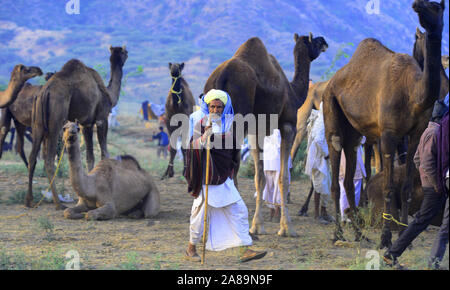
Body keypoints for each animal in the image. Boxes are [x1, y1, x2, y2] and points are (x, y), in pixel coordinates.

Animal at [26, 46, 126, 210]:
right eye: (125, 52)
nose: (126, 54)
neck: (108, 95)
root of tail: (45, 91)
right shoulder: (101, 119)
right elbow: (104, 153)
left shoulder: (86, 123)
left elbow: (90, 157)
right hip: (55, 122)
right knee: (49, 160)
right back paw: (58, 203)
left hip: (38, 124)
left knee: (32, 157)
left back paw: (30, 201)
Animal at [203, 32, 326, 237]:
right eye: (315, 42)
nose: (325, 43)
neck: (293, 93)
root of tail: (222, 75)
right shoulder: (288, 125)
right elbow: (283, 177)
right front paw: (286, 227)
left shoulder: (257, 130)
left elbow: (260, 178)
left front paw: (257, 225)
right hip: (237, 120)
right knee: (230, 165)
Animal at [322, 0, 444, 247]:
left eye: (436, 6)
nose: (416, 4)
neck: (414, 93)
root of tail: (331, 82)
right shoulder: (388, 134)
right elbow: (388, 187)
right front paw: (386, 238)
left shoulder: (415, 134)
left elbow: (405, 187)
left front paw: (404, 235)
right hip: (330, 107)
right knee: (335, 163)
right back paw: (338, 234)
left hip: (353, 132)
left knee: (349, 175)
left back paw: (360, 234)